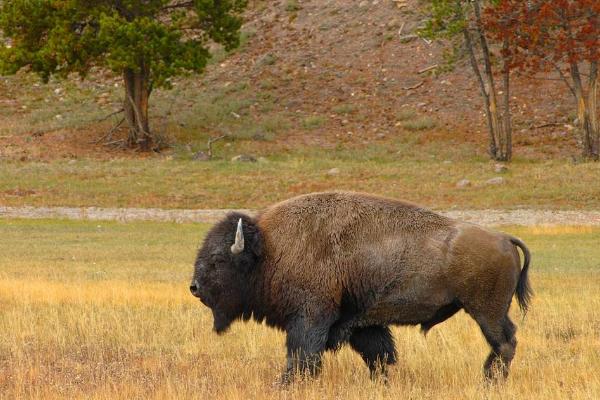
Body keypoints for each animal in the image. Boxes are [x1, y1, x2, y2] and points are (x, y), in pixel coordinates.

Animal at [190, 191, 532, 384]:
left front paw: (284, 384)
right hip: (490, 311)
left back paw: (490, 381)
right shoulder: (361, 324)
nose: (194, 287)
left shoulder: (310, 318)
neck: (271, 248)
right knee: (505, 342)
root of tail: (503, 237)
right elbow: (378, 355)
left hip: (486, 311)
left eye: (218, 259)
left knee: (504, 343)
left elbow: (302, 356)